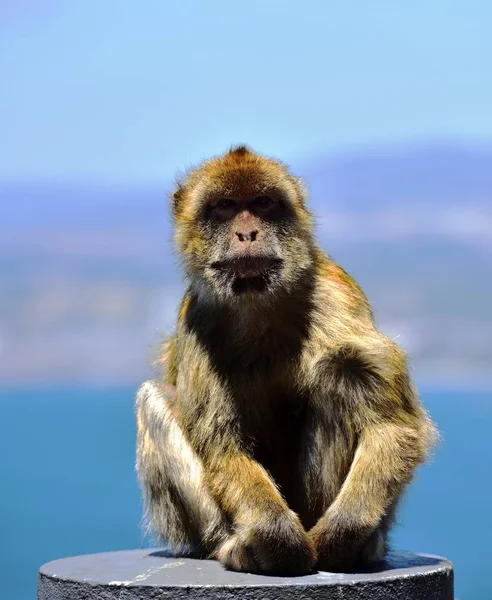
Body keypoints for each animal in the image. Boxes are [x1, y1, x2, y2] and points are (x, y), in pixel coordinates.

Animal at [134, 145, 434, 576]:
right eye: (225, 207)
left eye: (263, 203)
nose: (247, 233)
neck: (260, 305)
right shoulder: (196, 322)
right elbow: (223, 448)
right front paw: (276, 537)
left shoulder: (335, 296)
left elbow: (394, 425)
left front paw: (343, 530)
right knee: (153, 398)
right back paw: (234, 545)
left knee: (341, 372)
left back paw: (356, 549)